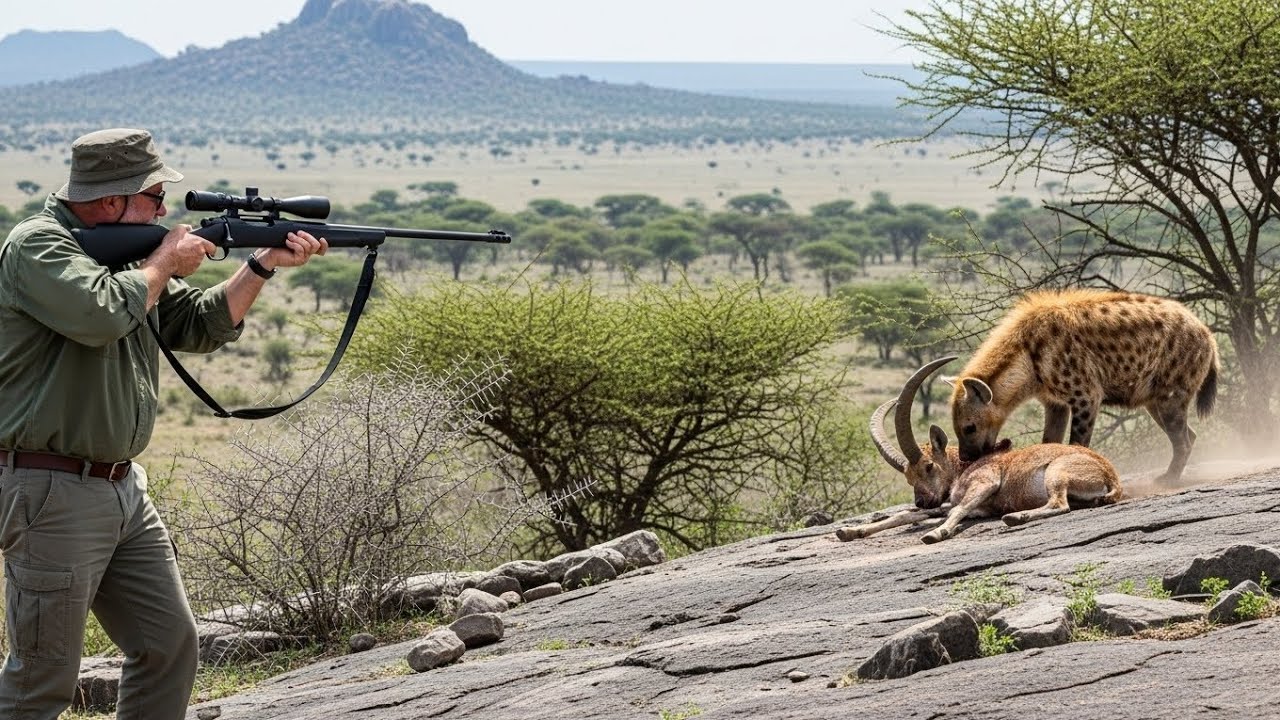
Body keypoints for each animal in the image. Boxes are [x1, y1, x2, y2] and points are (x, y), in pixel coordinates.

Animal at [836, 357, 1124, 544]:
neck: (965, 466)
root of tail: (1111, 477)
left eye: (929, 466)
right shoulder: (952, 502)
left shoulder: (985, 484)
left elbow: (955, 511)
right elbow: (907, 515)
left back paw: (1015, 517)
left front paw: (934, 533)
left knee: (1059, 504)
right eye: (908, 477)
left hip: (1057, 471)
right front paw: (849, 532)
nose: (921, 500)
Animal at [947, 289, 1218, 483]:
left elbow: (1077, 443)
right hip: (1153, 398)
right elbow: (1050, 440)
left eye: (969, 427)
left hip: (1171, 392)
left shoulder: (1086, 395)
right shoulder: (1055, 403)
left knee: (1182, 438)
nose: (965, 457)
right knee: (1189, 434)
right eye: (957, 428)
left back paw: (1168, 479)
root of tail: (1206, 332)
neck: (1028, 358)